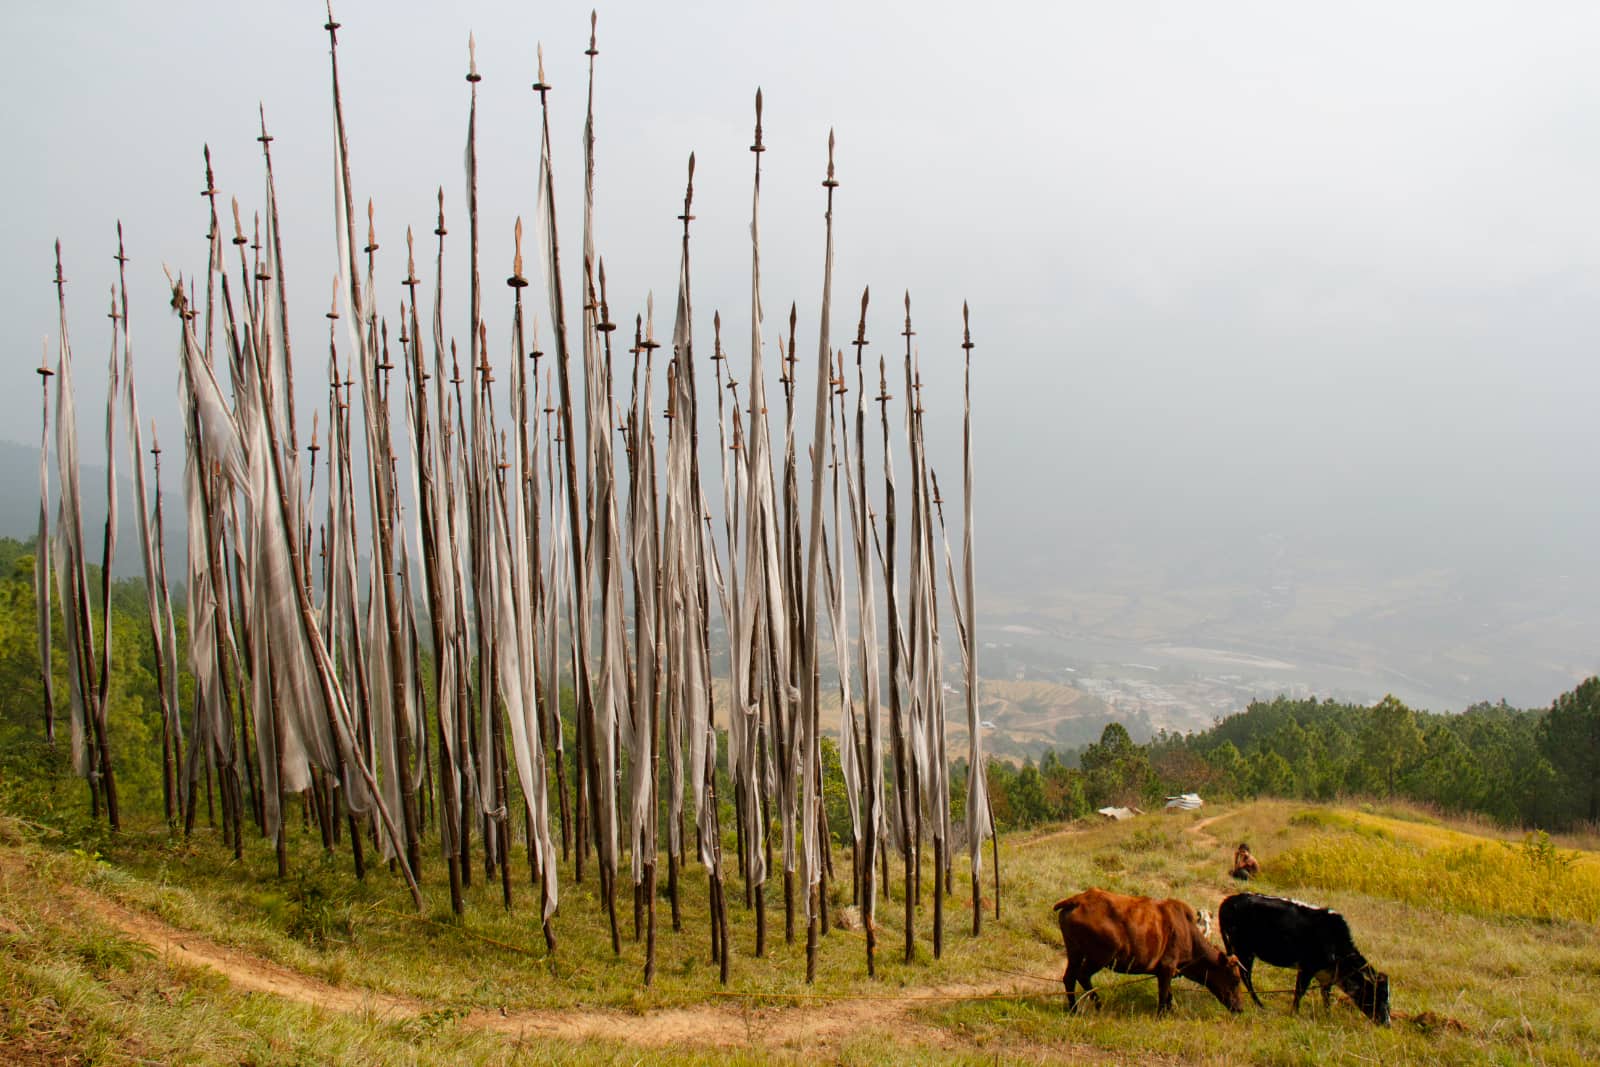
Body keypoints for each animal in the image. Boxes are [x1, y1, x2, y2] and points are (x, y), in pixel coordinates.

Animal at [1049, 889, 1248, 1017]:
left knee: (1069, 978)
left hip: (1075, 952)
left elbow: (1168, 994)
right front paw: (1161, 1016)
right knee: (1083, 976)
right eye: (1236, 979)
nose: (1240, 1009)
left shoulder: (1166, 971)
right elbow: (1164, 994)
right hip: (1100, 956)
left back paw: (1074, 1009)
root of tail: (1079, 900)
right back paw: (1097, 1005)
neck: (1188, 933)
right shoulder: (1167, 968)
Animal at [1222, 895, 1388, 1023]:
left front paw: (1328, 1017)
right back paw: (1260, 1005)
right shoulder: (1307, 969)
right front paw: (1294, 1013)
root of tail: (1229, 901)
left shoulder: (1325, 977)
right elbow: (1299, 992)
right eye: (1379, 996)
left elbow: (1326, 998)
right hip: (1245, 952)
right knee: (1246, 977)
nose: (1386, 1023)